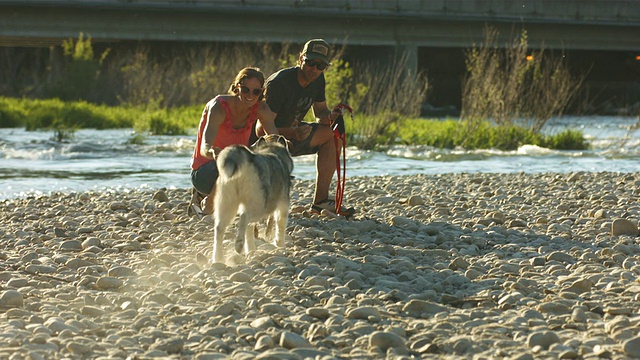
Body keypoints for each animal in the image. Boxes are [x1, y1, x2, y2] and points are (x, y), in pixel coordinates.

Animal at [214, 134, 296, 262]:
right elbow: (280, 227)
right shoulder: (283, 206)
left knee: (219, 228)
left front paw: (251, 249)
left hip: (227, 204)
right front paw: (280, 245)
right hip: (260, 206)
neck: (272, 151)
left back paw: (218, 258)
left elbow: (249, 232)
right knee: (244, 217)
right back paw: (238, 243)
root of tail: (248, 159)